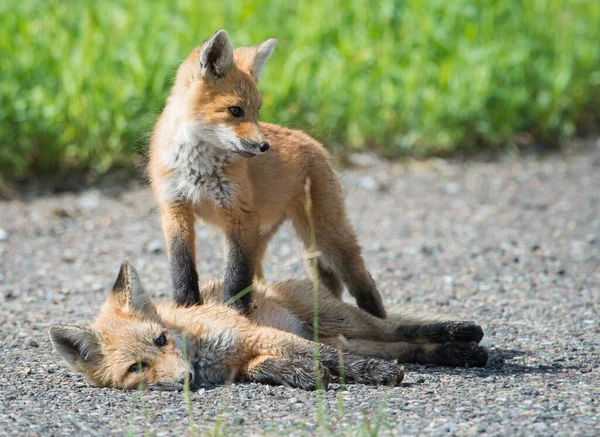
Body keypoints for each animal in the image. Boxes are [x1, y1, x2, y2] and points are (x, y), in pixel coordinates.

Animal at [48, 260, 488, 390]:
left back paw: (462, 335)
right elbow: (275, 368)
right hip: (347, 333)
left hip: (339, 319)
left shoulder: (253, 333)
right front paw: (308, 376)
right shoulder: (245, 359)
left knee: (398, 331)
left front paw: (373, 375)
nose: (187, 379)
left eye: (160, 340)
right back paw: (457, 352)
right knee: (403, 346)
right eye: (137, 367)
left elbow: (328, 358)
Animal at [148, 29, 386, 316]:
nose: (264, 146)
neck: (199, 168)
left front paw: (235, 312)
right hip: (270, 237)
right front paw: (186, 306)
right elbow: (182, 268)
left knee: (361, 278)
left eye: (257, 110)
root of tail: (311, 141)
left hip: (325, 236)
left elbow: (236, 276)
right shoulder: (175, 209)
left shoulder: (238, 215)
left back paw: (377, 317)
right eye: (235, 110)